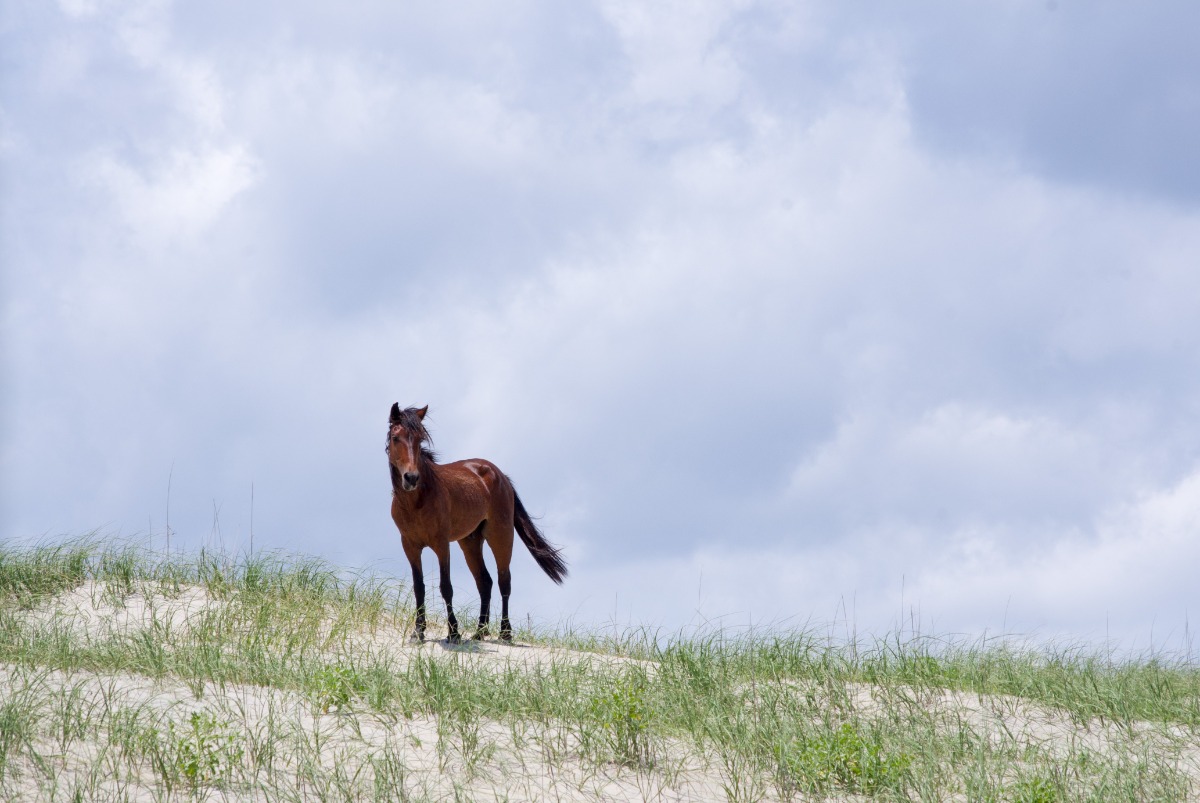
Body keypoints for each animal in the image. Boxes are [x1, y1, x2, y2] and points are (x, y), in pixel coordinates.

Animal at [386, 403, 567, 643]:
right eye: (395, 437)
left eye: (420, 439)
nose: (411, 478)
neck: (417, 501)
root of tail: (500, 475)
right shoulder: (410, 546)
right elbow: (419, 587)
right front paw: (418, 632)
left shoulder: (441, 544)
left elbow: (446, 587)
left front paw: (453, 632)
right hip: (470, 542)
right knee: (485, 582)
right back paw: (480, 631)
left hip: (501, 536)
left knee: (503, 581)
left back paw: (505, 632)